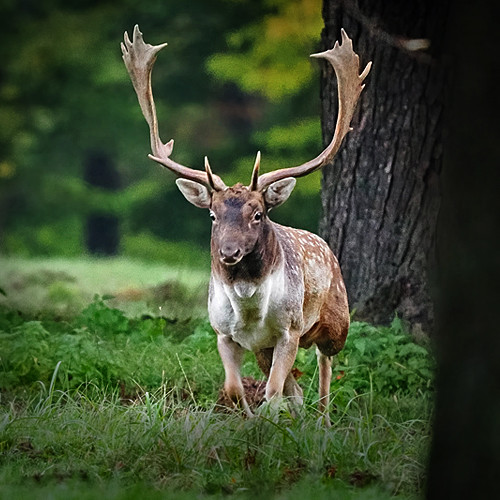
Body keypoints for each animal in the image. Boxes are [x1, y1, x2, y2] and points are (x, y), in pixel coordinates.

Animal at [121, 23, 372, 422]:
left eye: (258, 214)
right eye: (213, 214)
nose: (228, 252)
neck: (250, 309)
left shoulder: (289, 330)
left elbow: (272, 391)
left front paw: (267, 423)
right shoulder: (223, 332)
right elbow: (237, 388)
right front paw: (250, 421)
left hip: (336, 320)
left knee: (324, 367)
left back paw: (323, 420)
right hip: (265, 348)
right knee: (296, 388)